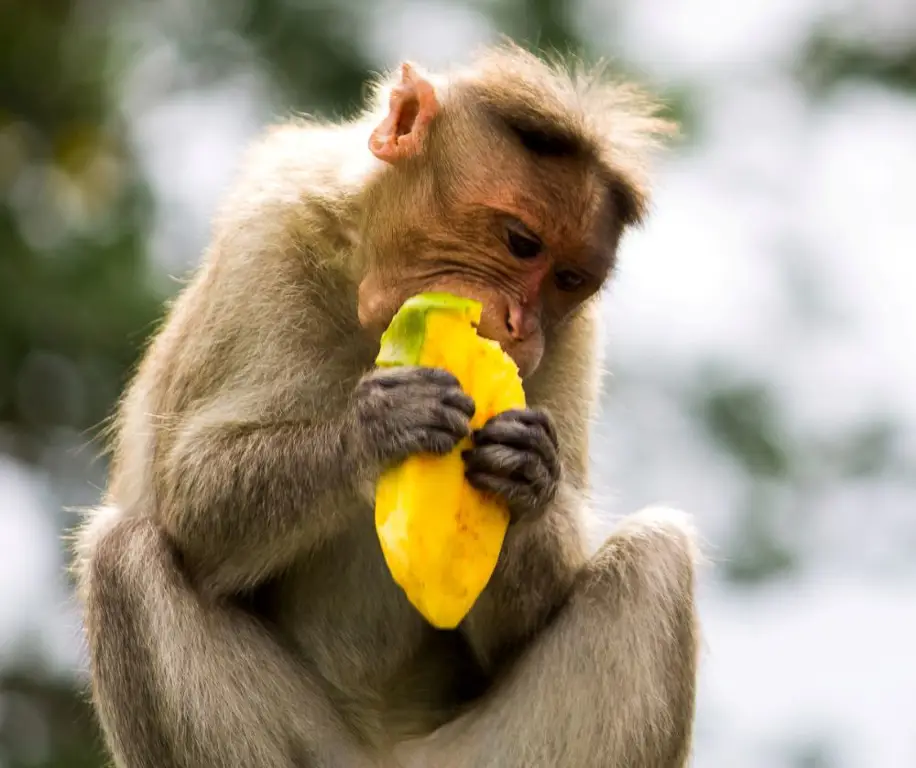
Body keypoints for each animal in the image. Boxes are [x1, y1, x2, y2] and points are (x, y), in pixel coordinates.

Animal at [73, 43, 700, 768]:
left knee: (656, 559)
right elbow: (191, 500)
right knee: (123, 555)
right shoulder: (269, 229)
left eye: (569, 280)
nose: (522, 326)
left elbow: (518, 627)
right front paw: (373, 431)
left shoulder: (575, 337)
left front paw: (528, 471)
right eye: (521, 242)